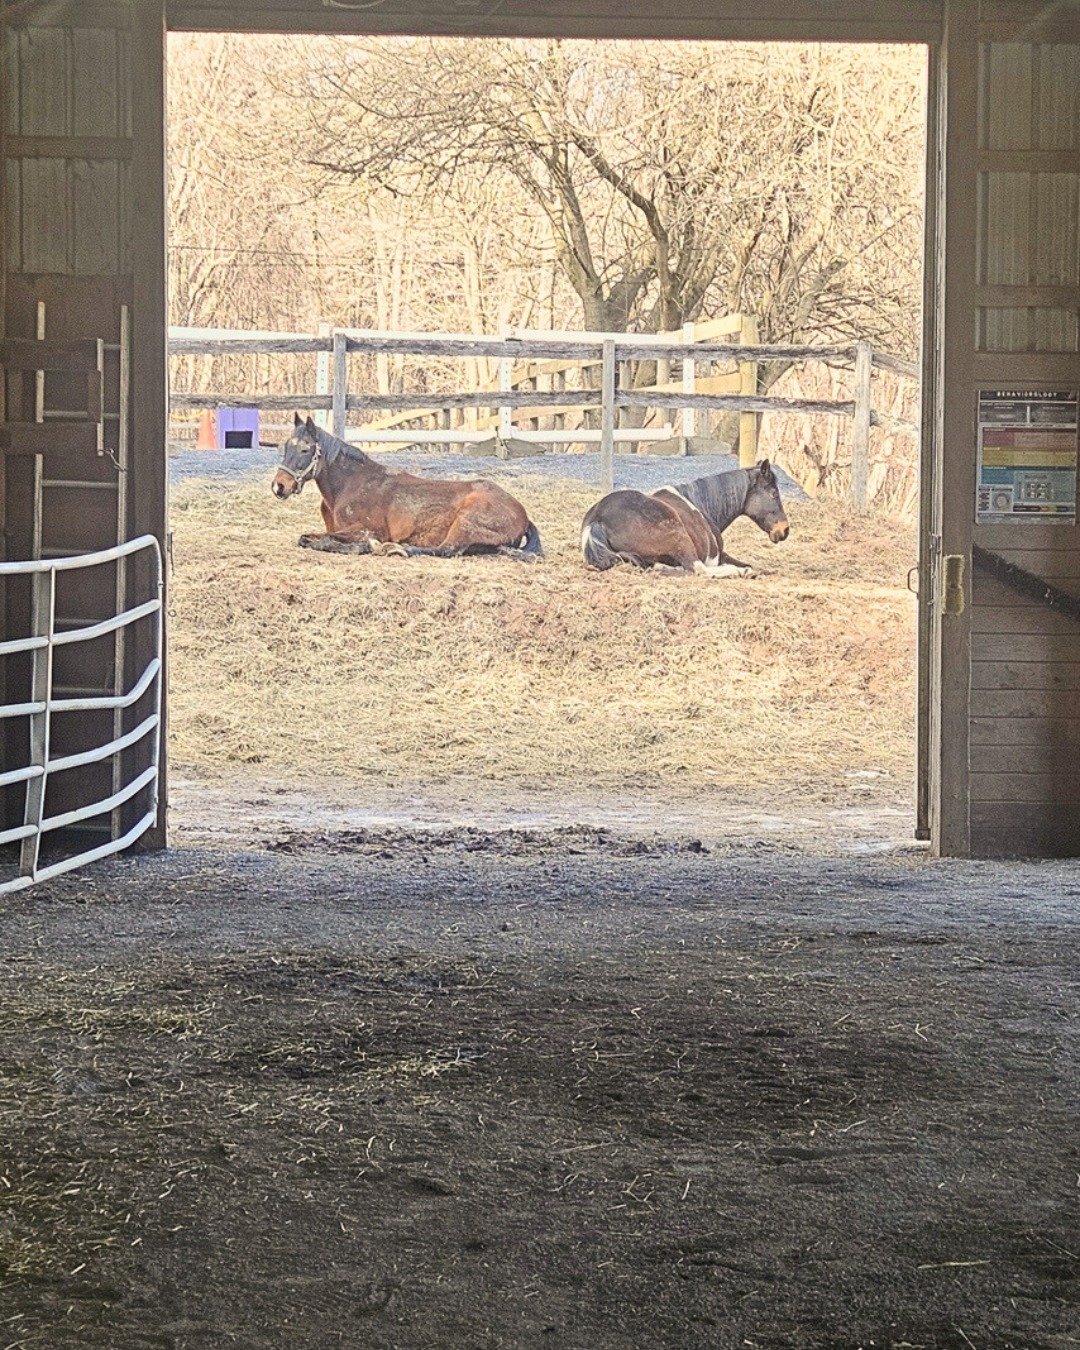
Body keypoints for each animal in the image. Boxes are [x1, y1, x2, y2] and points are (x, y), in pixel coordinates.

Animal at [272, 416, 542, 561]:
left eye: (305, 449)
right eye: (285, 446)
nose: (279, 486)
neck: (351, 484)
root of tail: (521, 512)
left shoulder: (368, 529)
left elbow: (321, 539)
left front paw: (366, 546)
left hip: (465, 523)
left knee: (446, 549)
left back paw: (395, 549)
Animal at [580, 460, 789, 577]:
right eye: (774, 494)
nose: (784, 530)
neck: (699, 503)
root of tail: (597, 519)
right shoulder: (719, 555)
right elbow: (746, 565)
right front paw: (746, 570)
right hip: (678, 537)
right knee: (697, 569)